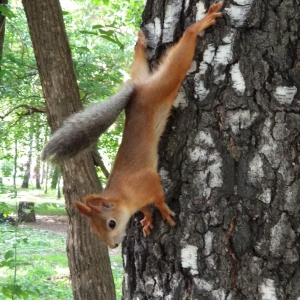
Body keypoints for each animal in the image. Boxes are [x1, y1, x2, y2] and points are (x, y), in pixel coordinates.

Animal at [43, 2, 224, 248]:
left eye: (111, 223)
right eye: (94, 230)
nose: (113, 246)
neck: (124, 195)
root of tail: (138, 89)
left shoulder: (148, 180)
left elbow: (158, 197)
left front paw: (163, 210)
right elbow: (145, 208)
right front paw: (146, 218)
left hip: (162, 86)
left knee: (182, 49)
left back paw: (198, 26)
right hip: (146, 79)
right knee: (138, 67)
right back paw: (140, 45)